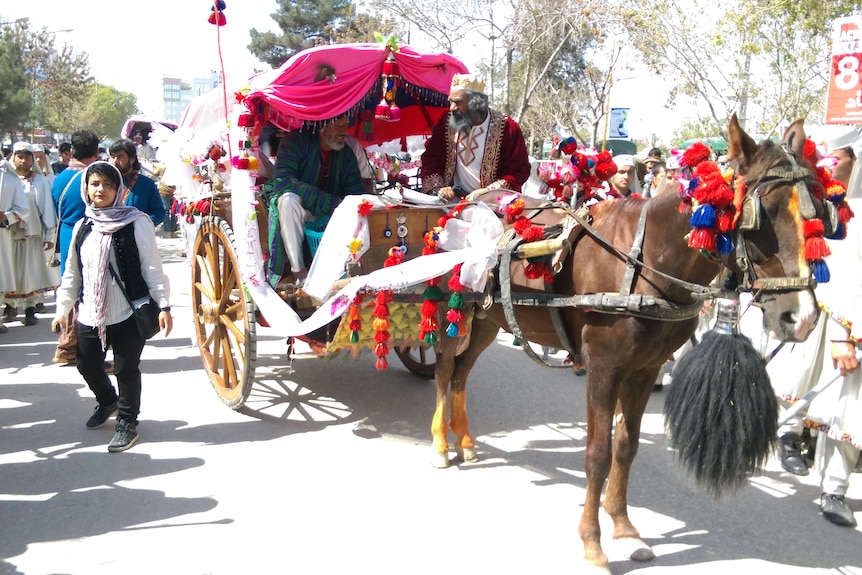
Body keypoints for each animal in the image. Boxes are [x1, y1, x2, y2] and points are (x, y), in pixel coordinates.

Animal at [432, 115, 824, 572]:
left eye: (818, 211)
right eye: (761, 214)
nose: (802, 316)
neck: (645, 260)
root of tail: (468, 204)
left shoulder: (645, 370)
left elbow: (626, 446)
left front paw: (623, 527)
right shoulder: (604, 368)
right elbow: (598, 453)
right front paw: (592, 542)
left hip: (486, 320)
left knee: (462, 375)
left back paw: (465, 442)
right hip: (452, 312)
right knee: (445, 371)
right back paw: (441, 444)